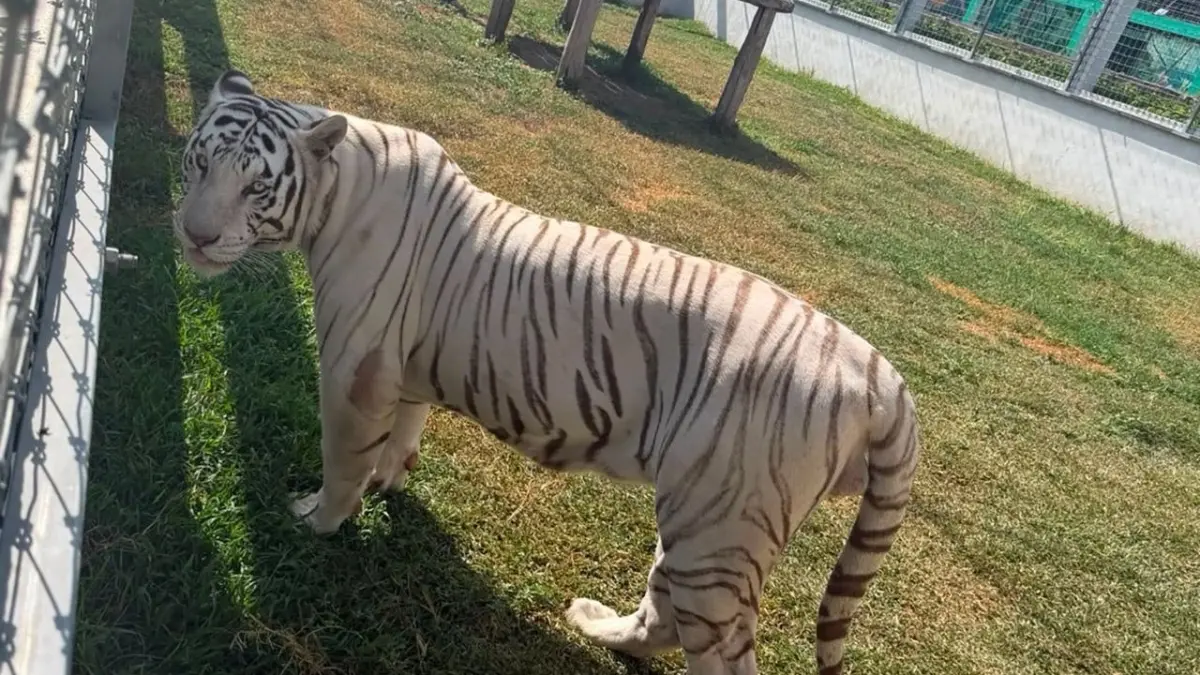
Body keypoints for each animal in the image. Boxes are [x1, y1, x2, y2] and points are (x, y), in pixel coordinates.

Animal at [173, 69, 922, 675]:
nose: (194, 235)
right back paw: (597, 625)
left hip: (722, 526)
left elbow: (342, 460)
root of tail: (881, 375)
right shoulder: (405, 366)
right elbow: (403, 432)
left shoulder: (354, 368)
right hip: (702, 517)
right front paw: (392, 480)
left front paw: (319, 518)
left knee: (716, 646)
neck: (336, 193)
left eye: (256, 185)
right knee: (663, 611)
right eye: (198, 162)